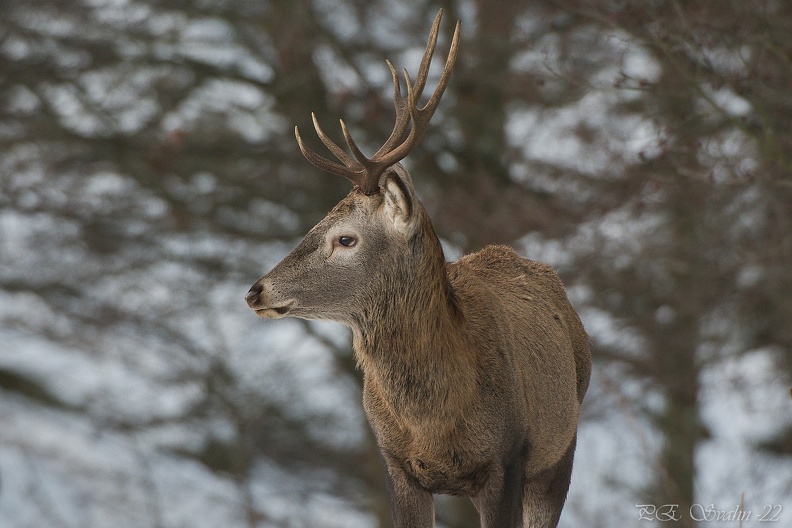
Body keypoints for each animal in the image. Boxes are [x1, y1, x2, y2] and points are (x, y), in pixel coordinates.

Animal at [244, 9, 592, 528]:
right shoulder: (396, 464)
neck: (436, 423)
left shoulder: (509, 459)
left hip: (560, 448)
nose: (256, 291)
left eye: (345, 238)